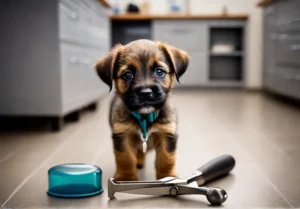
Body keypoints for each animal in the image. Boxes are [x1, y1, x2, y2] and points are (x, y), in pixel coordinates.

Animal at [95, 39, 189, 181]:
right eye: (127, 75)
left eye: (159, 71)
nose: (145, 93)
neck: (145, 117)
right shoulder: (123, 135)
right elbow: (126, 158)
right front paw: (126, 178)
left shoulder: (166, 134)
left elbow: (166, 159)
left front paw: (167, 177)